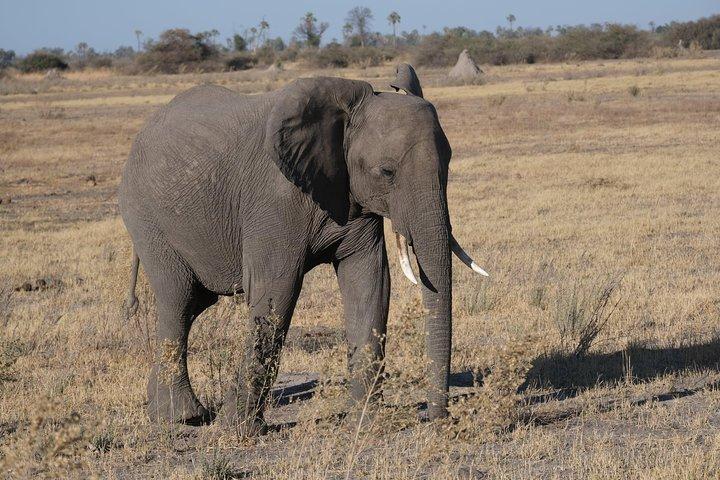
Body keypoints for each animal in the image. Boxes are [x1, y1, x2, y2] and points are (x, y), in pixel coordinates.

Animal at [119, 63, 488, 434]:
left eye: (449, 162)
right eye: (386, 171)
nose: (436, 417)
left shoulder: (349, 192)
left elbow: (369, 282)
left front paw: (362, 424)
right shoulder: (275, 201)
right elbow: (275, 291)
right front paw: (235, 430)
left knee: (195, 303)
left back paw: (160, 409)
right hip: (146, 218)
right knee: (178, 300)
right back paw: (182, 418)